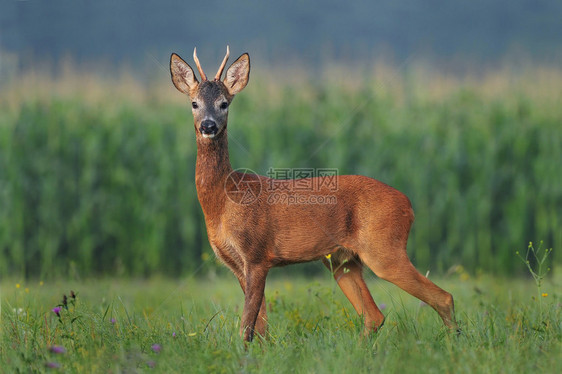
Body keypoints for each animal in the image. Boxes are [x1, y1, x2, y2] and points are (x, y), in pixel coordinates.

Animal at [167, 46, 456, 342]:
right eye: (194, 103)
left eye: (224, 103)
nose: (208, 126)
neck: (224, 200)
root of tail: (408, 204)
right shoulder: (237, 263)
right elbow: (261, 327)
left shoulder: (257, 254)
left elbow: (247, 325)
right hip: (343, 261)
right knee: (374, 315)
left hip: (384, 249)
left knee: (442, 297)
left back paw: (453, 342)